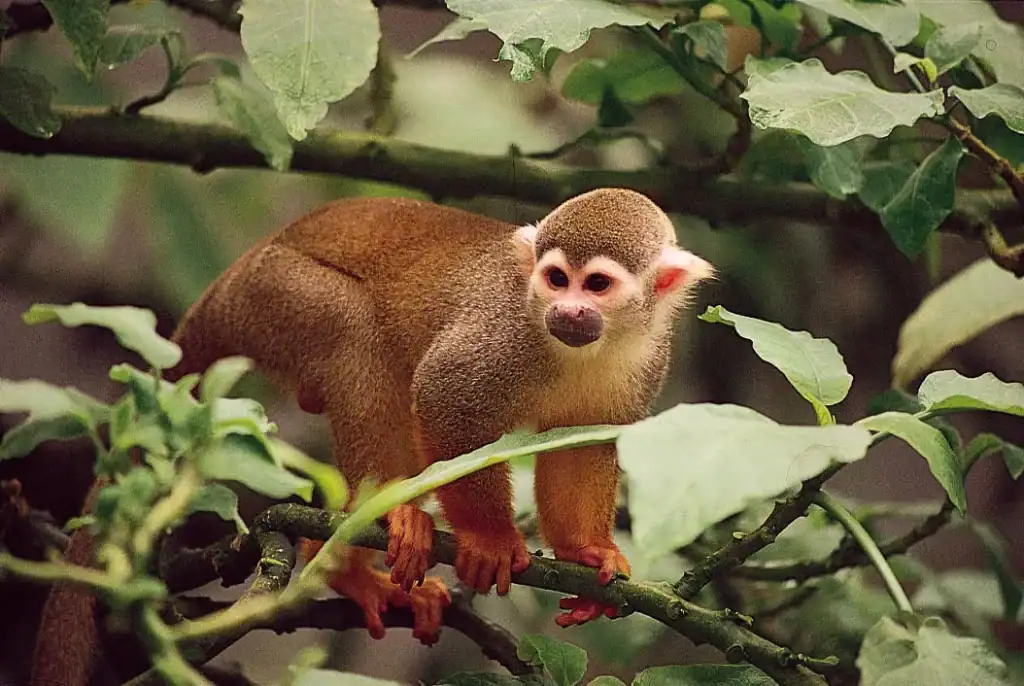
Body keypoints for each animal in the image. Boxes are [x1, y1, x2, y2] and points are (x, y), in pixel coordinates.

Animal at [29, 188, 712, 684]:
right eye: (554, 279)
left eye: (596, 285)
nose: (566, 312)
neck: (586, 347)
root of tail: (229, 281)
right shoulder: (503, 332)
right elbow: (444, 396)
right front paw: (490, 537)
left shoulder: (647, 362)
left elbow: (583, 445)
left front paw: (584, 551)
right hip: (277, 296)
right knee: (356, 335)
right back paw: (358, 545)